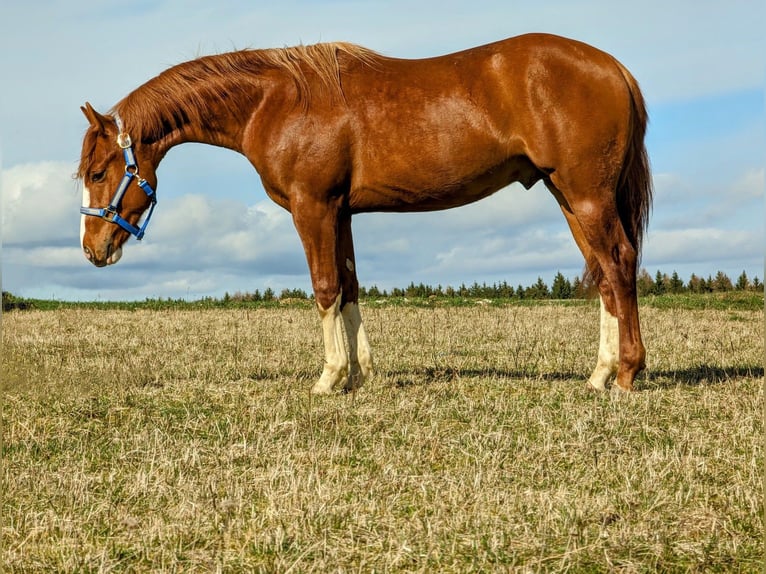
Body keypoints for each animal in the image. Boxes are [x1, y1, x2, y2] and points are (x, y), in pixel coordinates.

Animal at [79, 33, 656, 396]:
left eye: (99, 170)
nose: (92, 249)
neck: (277, 101)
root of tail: (615, 68)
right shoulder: (342, 213)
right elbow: (350, 286)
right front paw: (358, 375)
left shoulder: (313, 208)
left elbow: (324, 288)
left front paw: (329, 377)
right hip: (570, 197)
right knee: (604, 275)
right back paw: (599, 375)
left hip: (588, 195)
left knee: (620, 263)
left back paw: (628, 375)